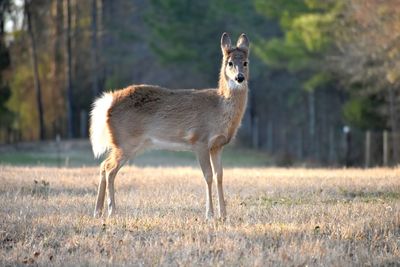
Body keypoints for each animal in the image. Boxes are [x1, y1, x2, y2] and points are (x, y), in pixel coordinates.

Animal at [90, 32, 250, 221]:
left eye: (246, 62)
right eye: (230, 63)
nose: (239, 78)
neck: (219, 107)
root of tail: (108, 102)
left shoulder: (217, 146)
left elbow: (220, 176)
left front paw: (224, 215)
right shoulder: (200, 140)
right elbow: (208, 176)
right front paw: (209, 215)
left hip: (127, 144)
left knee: (103, 165)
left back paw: (97, 211)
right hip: (125, 142)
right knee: (109, 169)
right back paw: (111, 210)